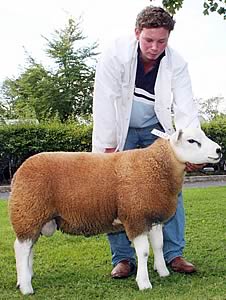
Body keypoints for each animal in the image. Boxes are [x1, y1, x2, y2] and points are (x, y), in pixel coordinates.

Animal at [7, 127, 222, 294]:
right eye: (191, 141)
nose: (219, 150)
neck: (157, 166)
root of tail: (18, 172)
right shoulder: (136, 217)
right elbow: (144, 252)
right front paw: (144, 283)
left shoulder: (153, 217)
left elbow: (159, 245)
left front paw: (163, 272)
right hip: (28, 213)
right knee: (21, 248)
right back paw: (26, 287)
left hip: (35, 217)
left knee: (29, 248)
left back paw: (25, 277)